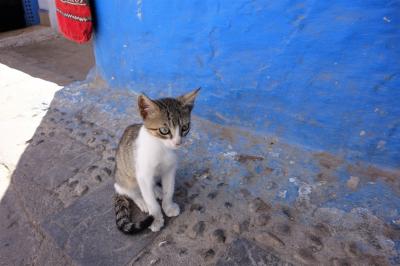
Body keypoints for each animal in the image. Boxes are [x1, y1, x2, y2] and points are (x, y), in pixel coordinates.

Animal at [112, 88, 200, 233]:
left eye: (184, 128)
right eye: (164, 130)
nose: (178, 143)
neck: (162, 148)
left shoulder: (170, 170)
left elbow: (169, 190)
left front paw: (168, 206)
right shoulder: (143, 175)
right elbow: (151, 202)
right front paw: (156, 218)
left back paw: (157, 190)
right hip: (124, 178)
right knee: (129, 191)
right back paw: (141, 201)